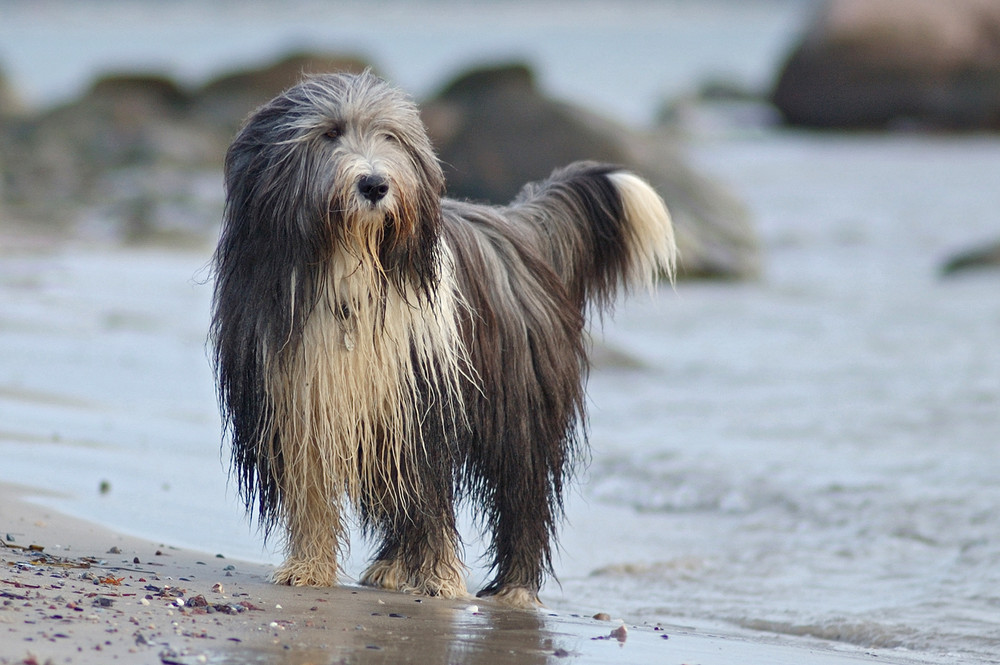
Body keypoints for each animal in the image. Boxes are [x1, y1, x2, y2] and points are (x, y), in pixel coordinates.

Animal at [212, 72, 680, 608]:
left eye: (389, 136)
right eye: (329, 133)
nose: (374, 184)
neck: (349, 264)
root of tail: (518, 226)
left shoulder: (420, 399)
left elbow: (431, 498)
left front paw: (439, 580)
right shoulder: (299, 400)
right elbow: (312, 491)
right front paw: (308, 567)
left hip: (518, 412)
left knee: (522, 498)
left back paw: (515, 589)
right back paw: (391, 568)